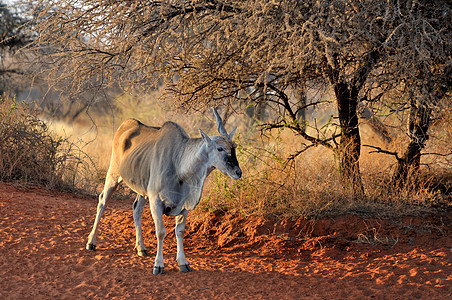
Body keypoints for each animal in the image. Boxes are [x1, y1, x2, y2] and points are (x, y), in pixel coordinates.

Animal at [84, 108, 240, 274]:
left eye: (234, 147)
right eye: (220, 148)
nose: (238, 172)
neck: (179, 163)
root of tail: (126, 124)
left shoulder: (183, 206)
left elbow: (180, 231)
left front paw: (183, 263)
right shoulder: (156, 201)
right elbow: (161, 232)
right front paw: (158, 265)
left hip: (142, 190)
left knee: (136, 209)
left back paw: (141, 248)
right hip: (113, 175)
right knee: (102, 202)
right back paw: (91, 242)